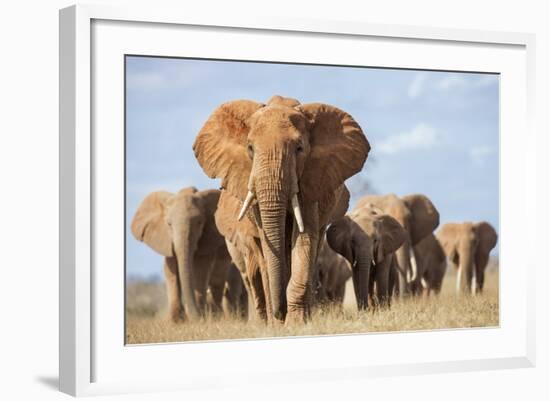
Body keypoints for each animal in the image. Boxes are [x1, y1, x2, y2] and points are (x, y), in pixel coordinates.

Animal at [132, 186, 235, 320]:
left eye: (199, 222)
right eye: (169, 224)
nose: (195, 317)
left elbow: (200, 270)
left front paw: (199, 317)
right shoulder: (166, 241)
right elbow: (170, 270)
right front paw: (176, 321)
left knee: (217, 280)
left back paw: (217, 316)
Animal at [194, 95, 370, 324]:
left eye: (299, 148)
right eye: (250, 148)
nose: (280, 312)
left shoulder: (312, 180)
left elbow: (304, 237)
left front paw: (296, 322)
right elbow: (268, 244)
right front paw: (279, 323)